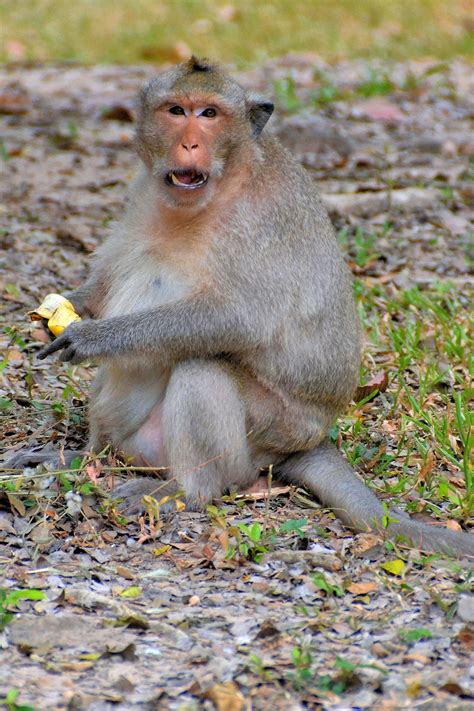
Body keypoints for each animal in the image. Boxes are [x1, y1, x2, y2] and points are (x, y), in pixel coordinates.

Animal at [12, 58, 474, 560]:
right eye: (177, 110)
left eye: (210, 114)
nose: (190, 142)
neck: (218, 188)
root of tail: (312, 438)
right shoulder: (142, 192)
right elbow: (108, 280)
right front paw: (62, 312)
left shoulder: (258, 222)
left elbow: (237, 319)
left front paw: (91, 337)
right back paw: (88, 457)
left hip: (272, 432)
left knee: (202, 366)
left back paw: (185, 490)